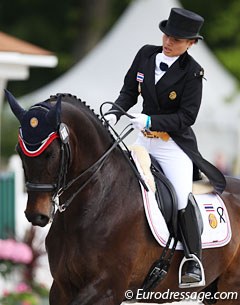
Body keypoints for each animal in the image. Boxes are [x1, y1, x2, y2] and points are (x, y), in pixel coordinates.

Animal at [4, 91, 240, 304]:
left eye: (51, 153)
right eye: (20, 151)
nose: (36, 215)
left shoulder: (107, 288)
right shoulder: (61, 287)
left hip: (230, 290)